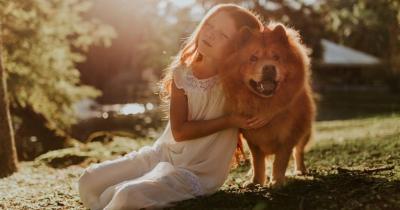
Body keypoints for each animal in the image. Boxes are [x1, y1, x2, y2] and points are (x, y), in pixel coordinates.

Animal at [222, 23, 316, 187]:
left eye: (276, 57)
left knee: (299, 151)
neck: (265, 103)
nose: (269, 67)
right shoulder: (252, 138)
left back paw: (300, 171)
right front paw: (255, 182)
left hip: (305, 131)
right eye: (253, 58)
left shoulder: (289, 135)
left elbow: (280, 161)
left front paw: (277, 181)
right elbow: (257, 162)